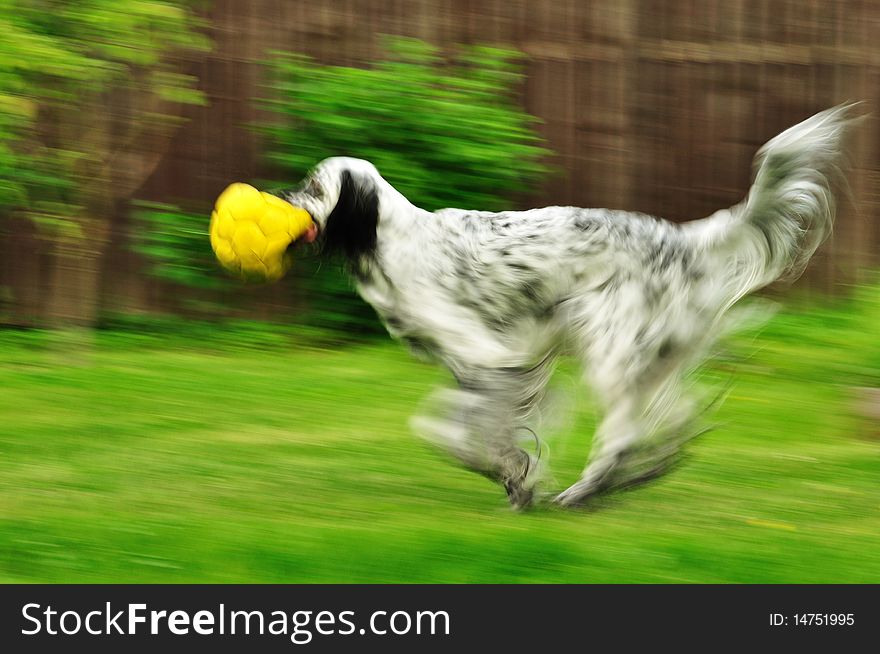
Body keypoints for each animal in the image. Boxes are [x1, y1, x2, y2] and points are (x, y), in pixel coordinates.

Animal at [286, 105, 856, 510]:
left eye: (313, 186)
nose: (282, 199)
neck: (391, 239)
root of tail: (683, 239)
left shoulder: (490, 356)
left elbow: (453, 433)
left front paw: (515, 476)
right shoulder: (475, 366)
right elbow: (455, 428)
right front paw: (515, 476)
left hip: (609, 350)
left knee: (625, 433)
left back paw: (584, 492)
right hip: (647, 355)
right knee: (675, 418)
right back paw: (634, 475)